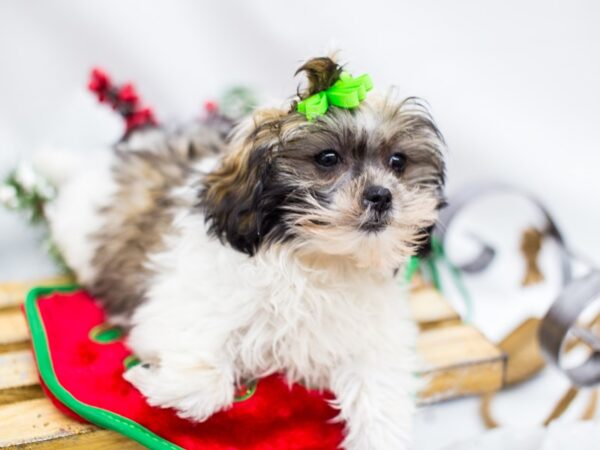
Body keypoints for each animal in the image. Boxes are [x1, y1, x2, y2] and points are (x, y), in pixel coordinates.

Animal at [47, 57, 446, 450]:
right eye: (328, 158)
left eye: (398, 162)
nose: (381, 195)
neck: (319, 258)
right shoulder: (183, 307)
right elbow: (203, 385)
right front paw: (150, 380)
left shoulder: (377, 339)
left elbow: (382, 391)